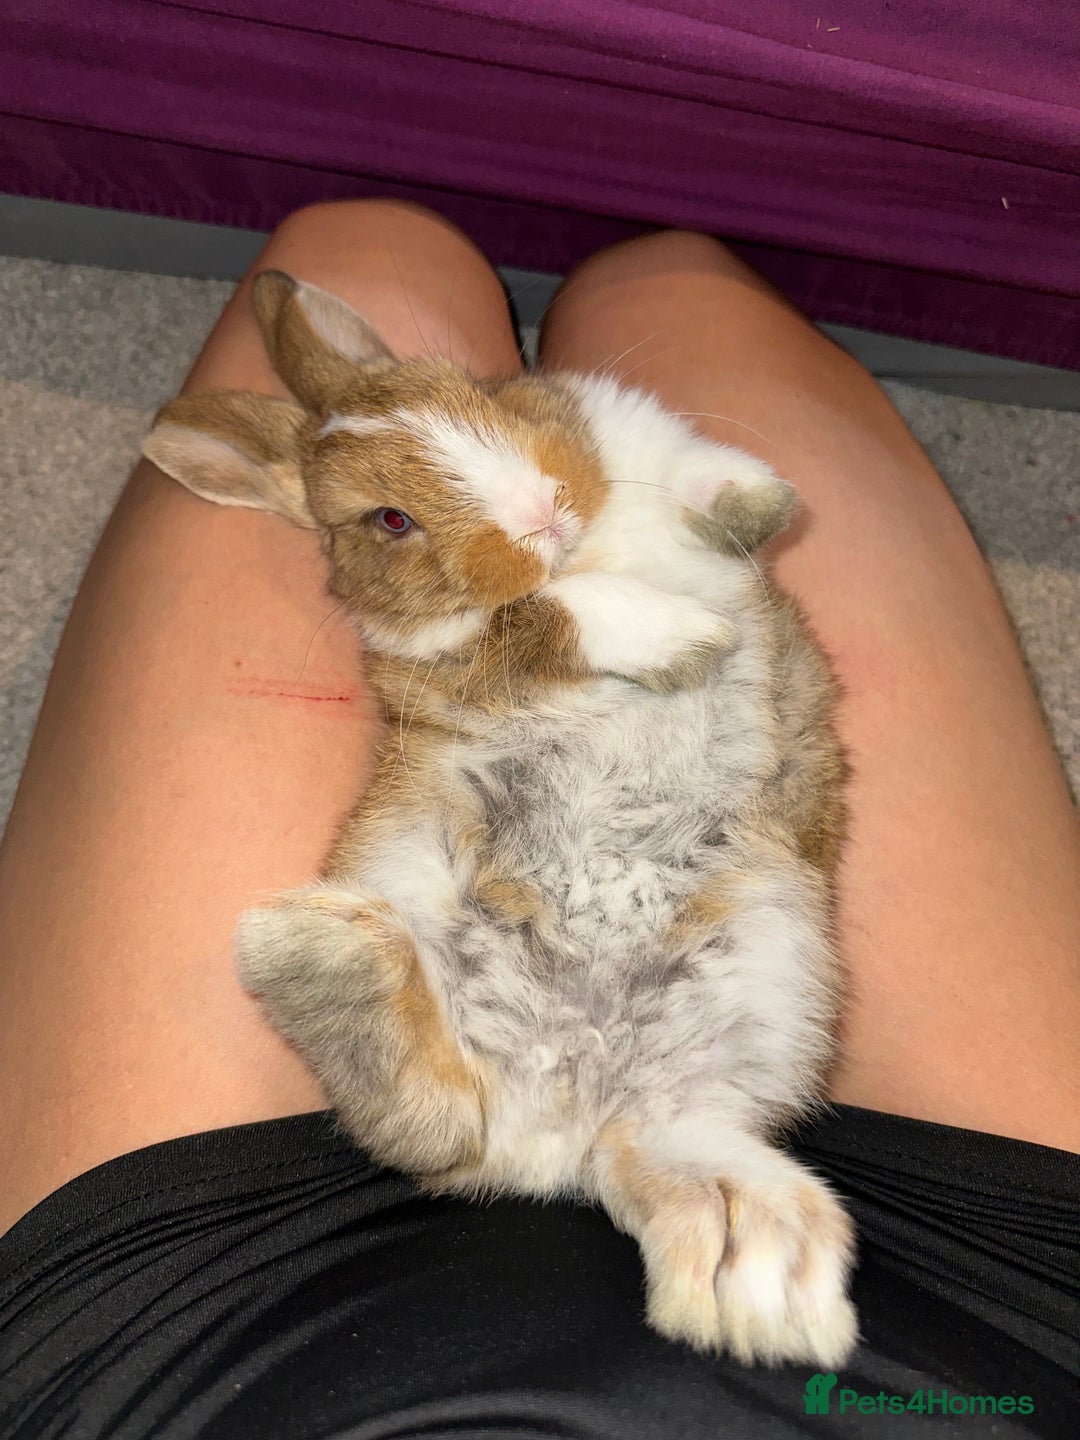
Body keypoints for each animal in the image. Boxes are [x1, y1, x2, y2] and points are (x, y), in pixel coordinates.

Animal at [142, 270, 857, 1368]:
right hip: (412, 879)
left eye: (473, 394)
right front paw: (690, 636)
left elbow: (679, 462)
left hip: (764, 983)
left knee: (646, 1144)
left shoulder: (618, 428)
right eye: (390, 519)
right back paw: (322, 955)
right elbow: (545, 619)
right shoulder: (454, 661)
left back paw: (761, 1280)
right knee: (434, 1121)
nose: (543, 513)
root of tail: (558, 1116)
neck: (588, 543)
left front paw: (752, 502)